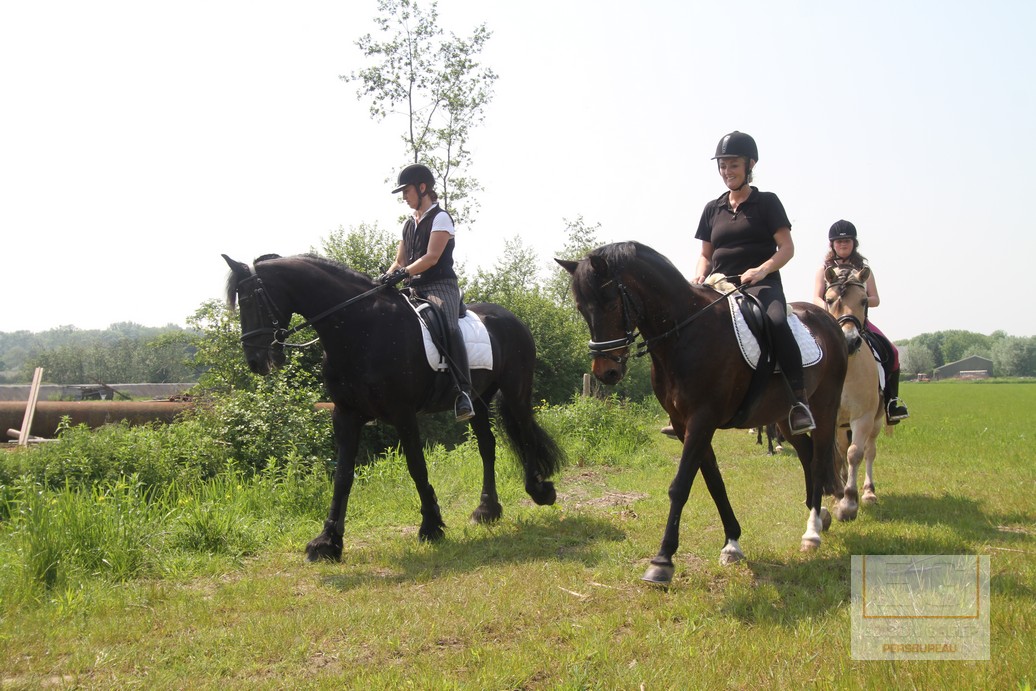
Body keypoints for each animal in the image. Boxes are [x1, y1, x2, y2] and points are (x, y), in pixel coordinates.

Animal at [222, 253, 564, 561]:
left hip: (516, 390)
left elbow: (416, 467)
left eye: (251, 300)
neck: (360, 329)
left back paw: (540, 491)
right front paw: (327, 542)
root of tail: (510, 317)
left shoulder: (403, 414)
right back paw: (486, 509)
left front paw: (431, 526)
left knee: (526, 435)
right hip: (478, 401)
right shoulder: (345, 416)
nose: (256, 361)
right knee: (487, 447)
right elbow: (343, 476)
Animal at [557, 242, 847, 585]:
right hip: (784, 417)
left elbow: (681, 485)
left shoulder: (702, 419)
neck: (683, 334)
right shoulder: (685, 424)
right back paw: (818, 516)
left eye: (611, 303)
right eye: (581, 308)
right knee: (806, 454)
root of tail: (827, 320)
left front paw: (662, 561)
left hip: (825, 407)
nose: (606, 372)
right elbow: (714, 482)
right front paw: (732, 544)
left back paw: (812, 531)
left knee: (818, 459)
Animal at [822, 265, 886, 518]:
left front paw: (849, 502)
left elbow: (855, 453)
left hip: (876, 421)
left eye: (864, 300)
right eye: (830, 300)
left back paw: (868, 493)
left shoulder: (864, 417)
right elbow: (836, 455)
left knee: (870, 451)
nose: (849, 341)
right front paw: (836, 494)